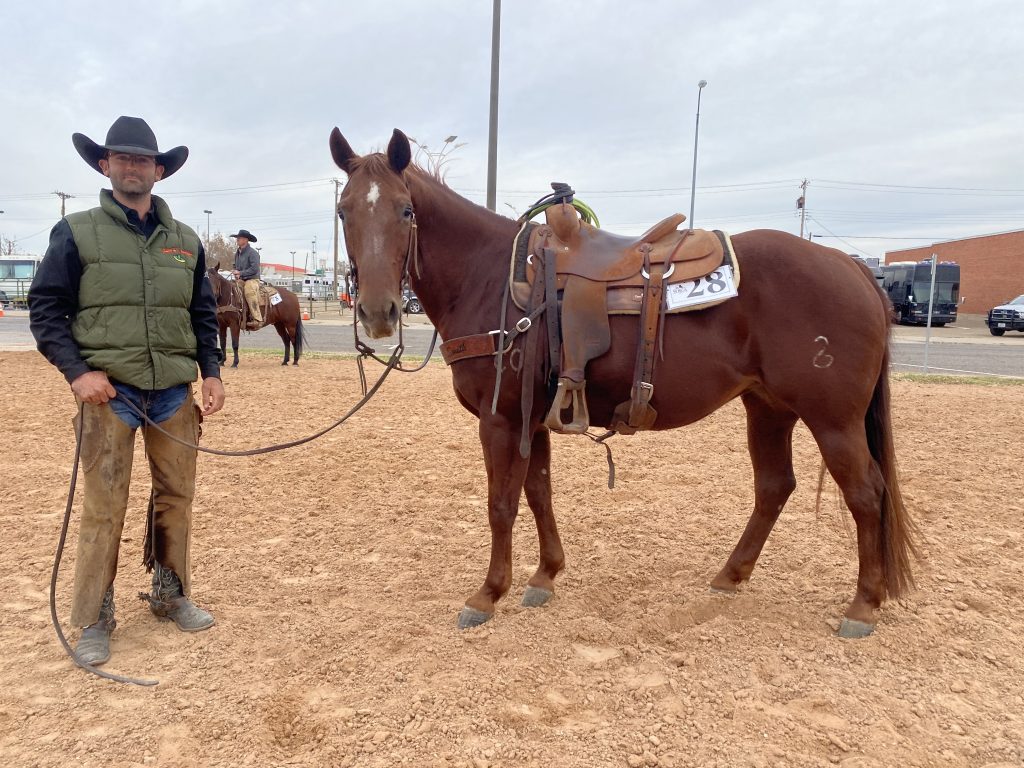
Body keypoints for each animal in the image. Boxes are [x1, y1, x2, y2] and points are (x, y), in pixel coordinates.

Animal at [328, 127, 918, 638]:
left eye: (406, 210)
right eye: (343, 210)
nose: (379, 312)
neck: (491, 277)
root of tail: (852, 267)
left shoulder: (502, 420)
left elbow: (502, 502)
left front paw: (488, 594)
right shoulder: (533, 419)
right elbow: (539, 492)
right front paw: (545, 576)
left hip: (832, 420)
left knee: (866, 493)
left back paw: (862, 605)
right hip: (769, 408)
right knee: (775, 486)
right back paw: (730, 576)